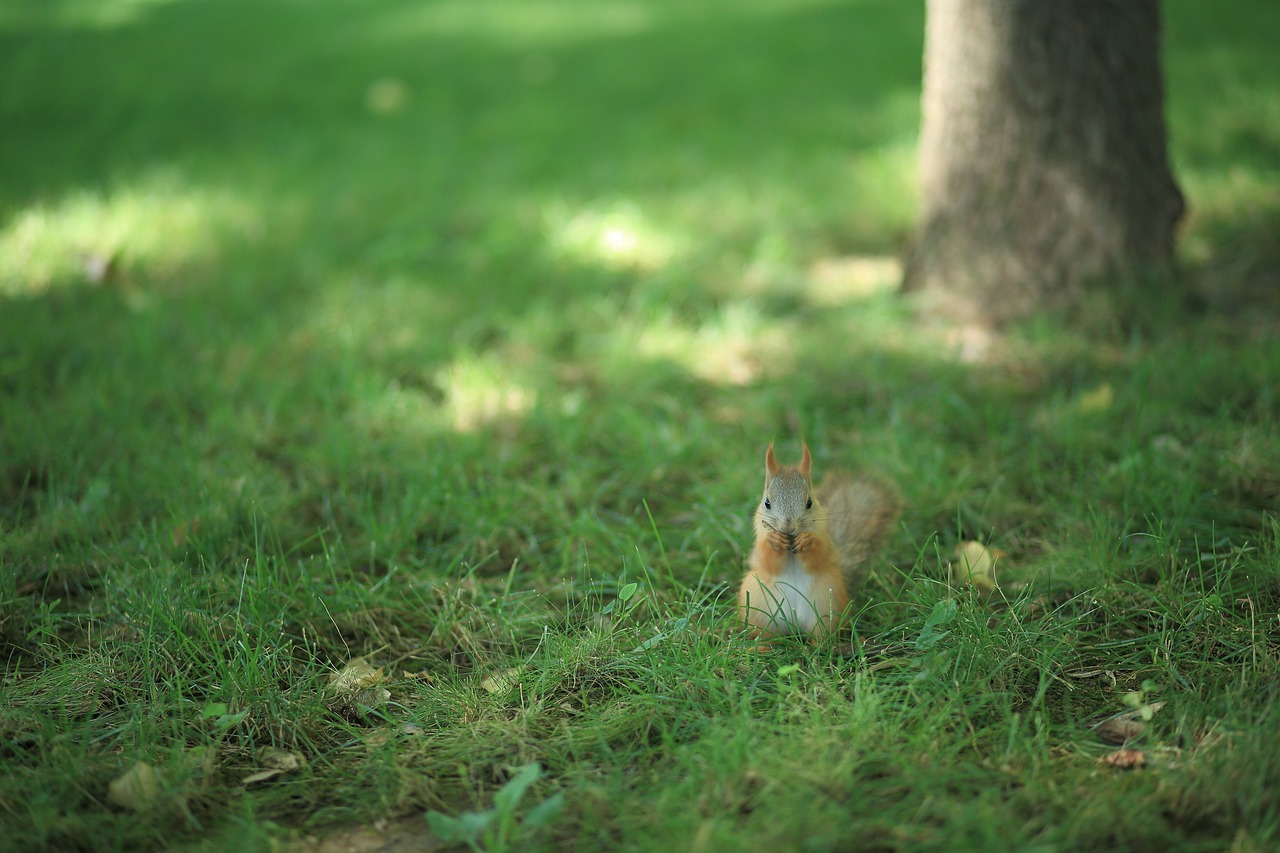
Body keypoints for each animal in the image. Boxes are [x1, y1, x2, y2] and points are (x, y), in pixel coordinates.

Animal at [737, 440, 906, 640]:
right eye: (767, 503)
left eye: (810, 502)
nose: (788, 528)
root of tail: (794, 625)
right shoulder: (759, 547)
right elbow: (767, 559)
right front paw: (774, 541)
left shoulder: (826, 543)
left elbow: (819, 555)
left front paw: (807, 541)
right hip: (756, 601)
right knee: (766, 634)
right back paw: (763, 644)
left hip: (827, 600)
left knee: (822, 633)